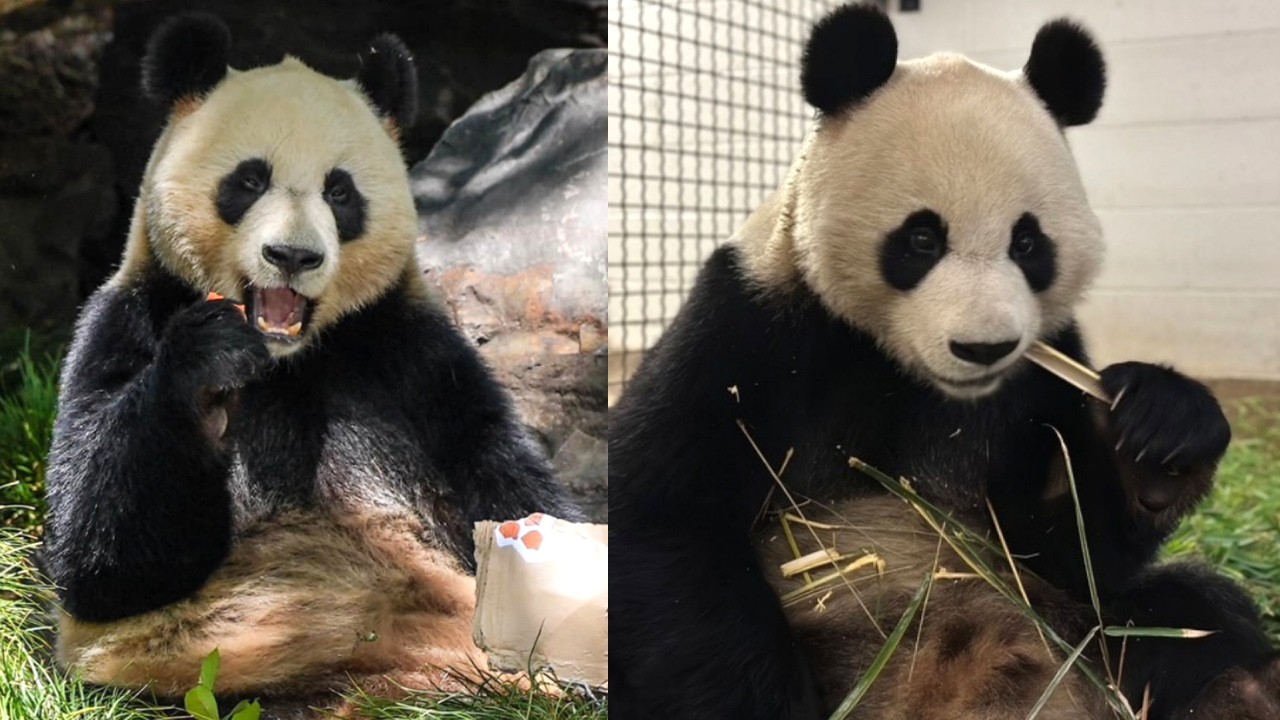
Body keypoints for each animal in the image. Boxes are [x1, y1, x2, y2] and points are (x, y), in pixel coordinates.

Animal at [43, 13, 577, 699]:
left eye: (339, 192)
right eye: (249, 180)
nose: (293, 256)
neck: (286, 357)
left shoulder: (408, 349)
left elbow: (498, 466)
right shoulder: (127, 319)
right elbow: (97, 559)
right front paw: (209, 369)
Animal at [610, 5, 1280, 719]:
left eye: (1027, 243)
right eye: (922, 239)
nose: (984, 348)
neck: (918, 379)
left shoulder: (1040, 373)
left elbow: (1065, 552)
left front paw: (1159, 432)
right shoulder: (751, 324)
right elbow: (667, 518)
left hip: (1077, 636)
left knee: (1185, 616)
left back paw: (1243, 689)